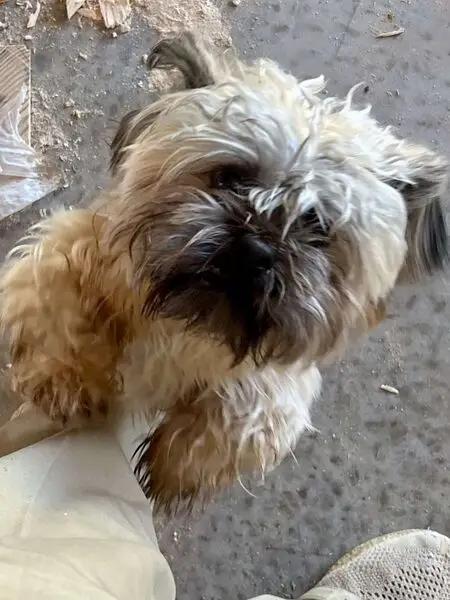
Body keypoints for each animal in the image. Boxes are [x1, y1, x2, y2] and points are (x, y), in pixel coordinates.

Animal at [0, 33, 447, 513]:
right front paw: (68, 376)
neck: (182, 324)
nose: (255, 250)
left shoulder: (278, 373)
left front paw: (180, 462)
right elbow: (58, 290)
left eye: (317, 224)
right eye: (230, 177)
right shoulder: (76, 246)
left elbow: (257, 401)